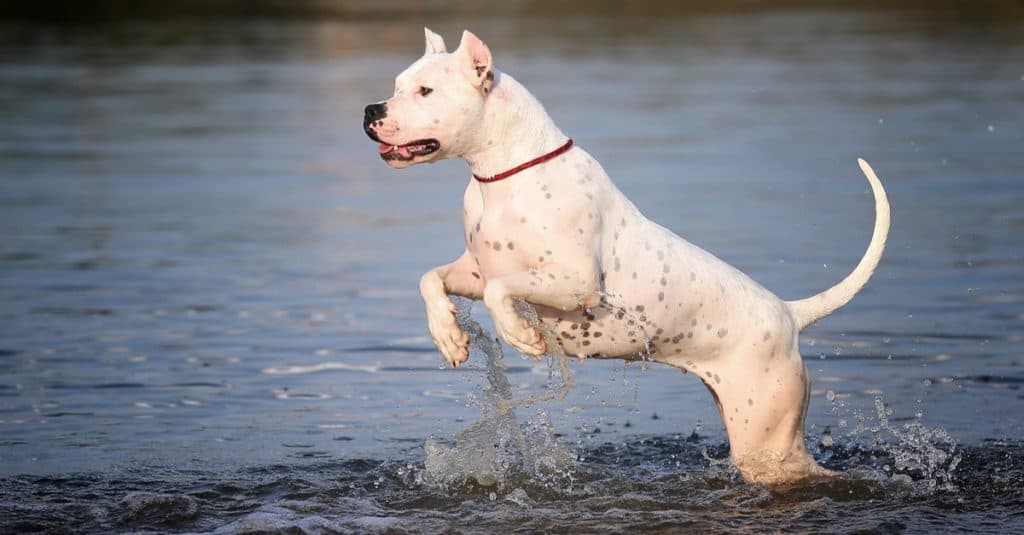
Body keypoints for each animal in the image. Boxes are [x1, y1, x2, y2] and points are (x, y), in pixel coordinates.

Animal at [366, 28, 888, 483]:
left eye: (426, 91)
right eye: (397, 85)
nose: (371, 108)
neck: (505, 175)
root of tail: (789, 314)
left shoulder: (574, 282)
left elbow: (501, 291)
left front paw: (519, 335)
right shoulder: (472, 271)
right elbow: (430, 279)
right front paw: (448, 337)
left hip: (768, 442)